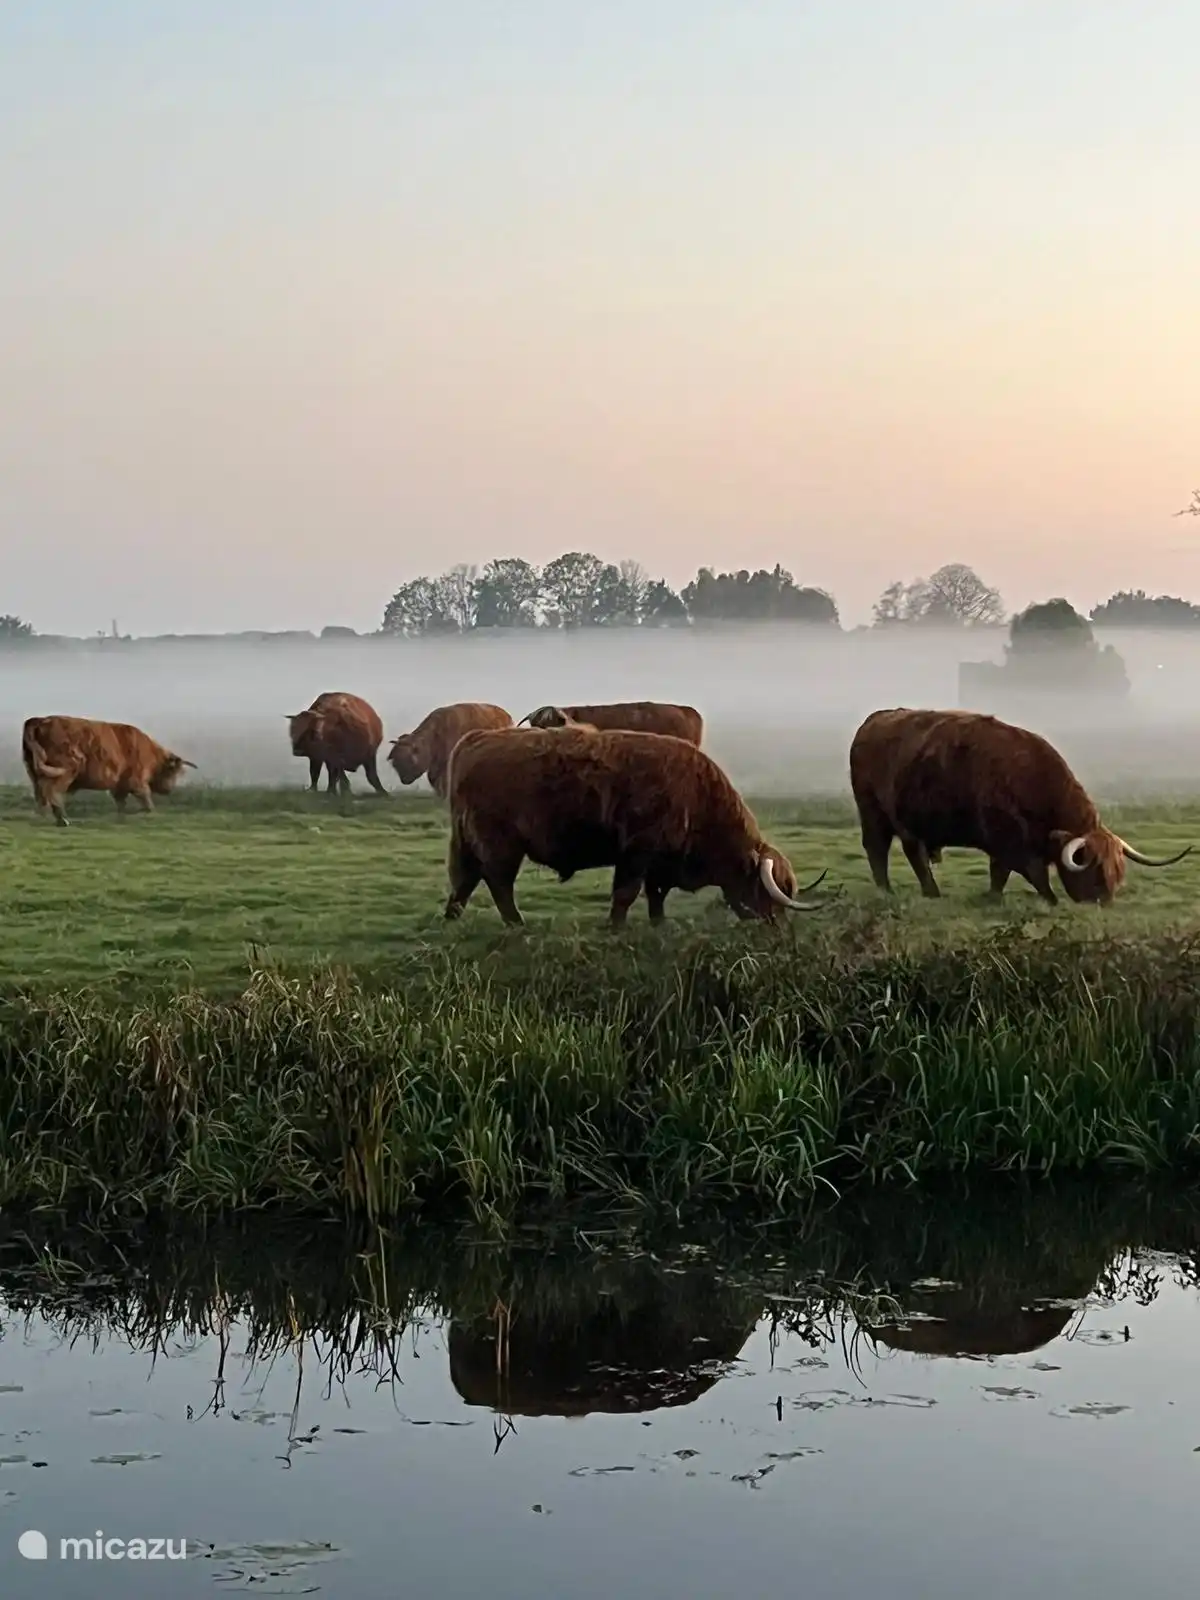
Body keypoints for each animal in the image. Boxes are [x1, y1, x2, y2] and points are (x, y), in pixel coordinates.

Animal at [22, 715, 196, 827]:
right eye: (173, 772)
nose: (169, 789)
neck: (151, 753)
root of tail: (39, 720)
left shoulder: (120, 785)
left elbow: (121, 803)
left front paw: (122, 818)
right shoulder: (137, 781)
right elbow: (146, 800)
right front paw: (148, 813)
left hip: (34, 770)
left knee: (41, 794)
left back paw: (43, 817)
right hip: (65, 770)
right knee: (52, 792)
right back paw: (62, 820)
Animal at [443, 724, 828, 926]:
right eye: (767, 892)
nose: (777, 930)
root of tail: (474, 740)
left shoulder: (662, 860)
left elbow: (656, 894)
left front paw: (659, 926)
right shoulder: (637, 852)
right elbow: (626, 894)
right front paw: (615, 928)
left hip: (468, 840)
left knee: (465, 879)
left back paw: (452, 917)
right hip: (500, 843)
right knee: (497, 882)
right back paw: (516, 925)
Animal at [849, 706, 1192, 905]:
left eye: (1118, 873)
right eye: (1095, 872)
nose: (1103, 902)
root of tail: (875, 719)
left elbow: (999, 872)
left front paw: (992, 896)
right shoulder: (1009, 840)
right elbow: (1032, 872)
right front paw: (1050, 900)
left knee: (913, 852)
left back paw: (930, 891)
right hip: (873, 812)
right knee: (879, 849)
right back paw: (889, 891)